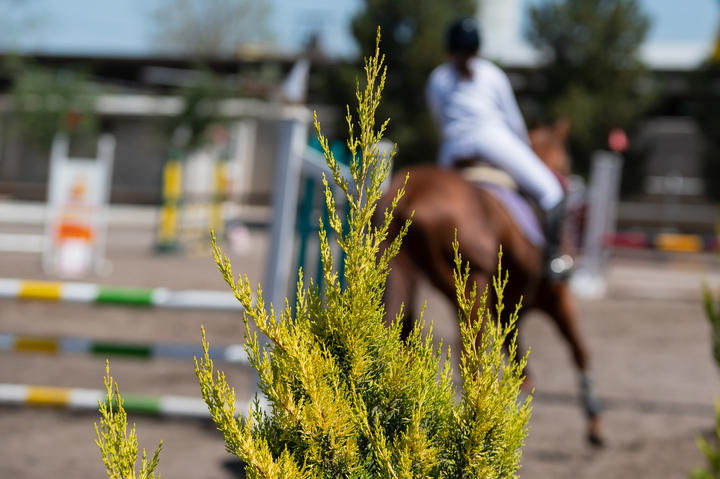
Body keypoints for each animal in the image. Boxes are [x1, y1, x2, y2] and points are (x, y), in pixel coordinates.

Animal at [380, 123, 604, 446]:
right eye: (567, 159)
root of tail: (411, 193)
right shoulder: (556, 298)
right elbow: (579, 351)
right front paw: (594, 421)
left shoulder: (510, 313)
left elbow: (524, 373)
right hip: (471, 286)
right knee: (471, 362)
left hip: (400, 278)